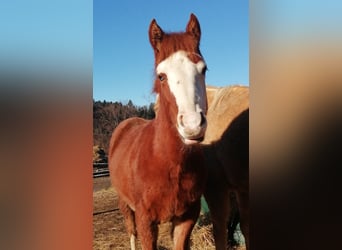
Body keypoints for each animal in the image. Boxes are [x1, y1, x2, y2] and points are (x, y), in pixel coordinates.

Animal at [108, 14, 207, 250]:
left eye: (204, 70)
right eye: (161, 76)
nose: (192, 125)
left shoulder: (186, 218)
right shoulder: (146, 221)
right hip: (125, 205)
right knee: (131, 232)